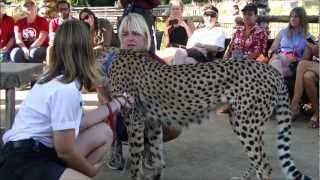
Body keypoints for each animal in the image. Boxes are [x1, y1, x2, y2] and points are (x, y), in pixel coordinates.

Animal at [106, 48, 312, 180]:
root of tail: (271, 69)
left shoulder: (134, 122)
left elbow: (135, 160)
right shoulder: (153, 122)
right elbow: (157, 156)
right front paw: (156, 174)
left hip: (246, 124)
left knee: (264, 165)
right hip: (246, 122)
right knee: (258, 160)